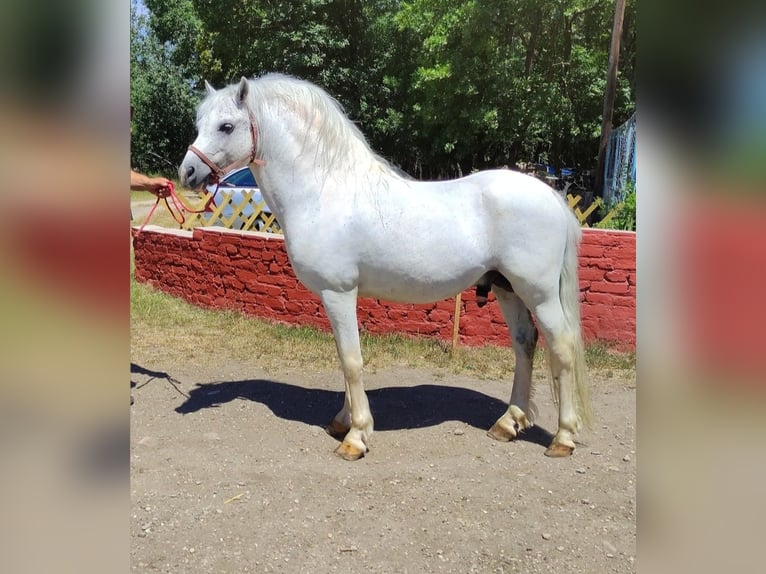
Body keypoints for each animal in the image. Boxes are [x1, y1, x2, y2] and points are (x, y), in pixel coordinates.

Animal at [179, 73, 592, 461]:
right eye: (198, 122)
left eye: (226, 126)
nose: (187, 173)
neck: (323, 191)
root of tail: (552, 196)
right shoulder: (337, 298)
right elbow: (344, 357)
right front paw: (342, 422)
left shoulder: (339, 293)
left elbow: (351, 360)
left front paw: (356, 437)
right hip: (507, 289)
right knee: (525, 344)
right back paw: (508, 423)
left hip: (538, 293)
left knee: (561, 346)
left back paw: (562, 437)